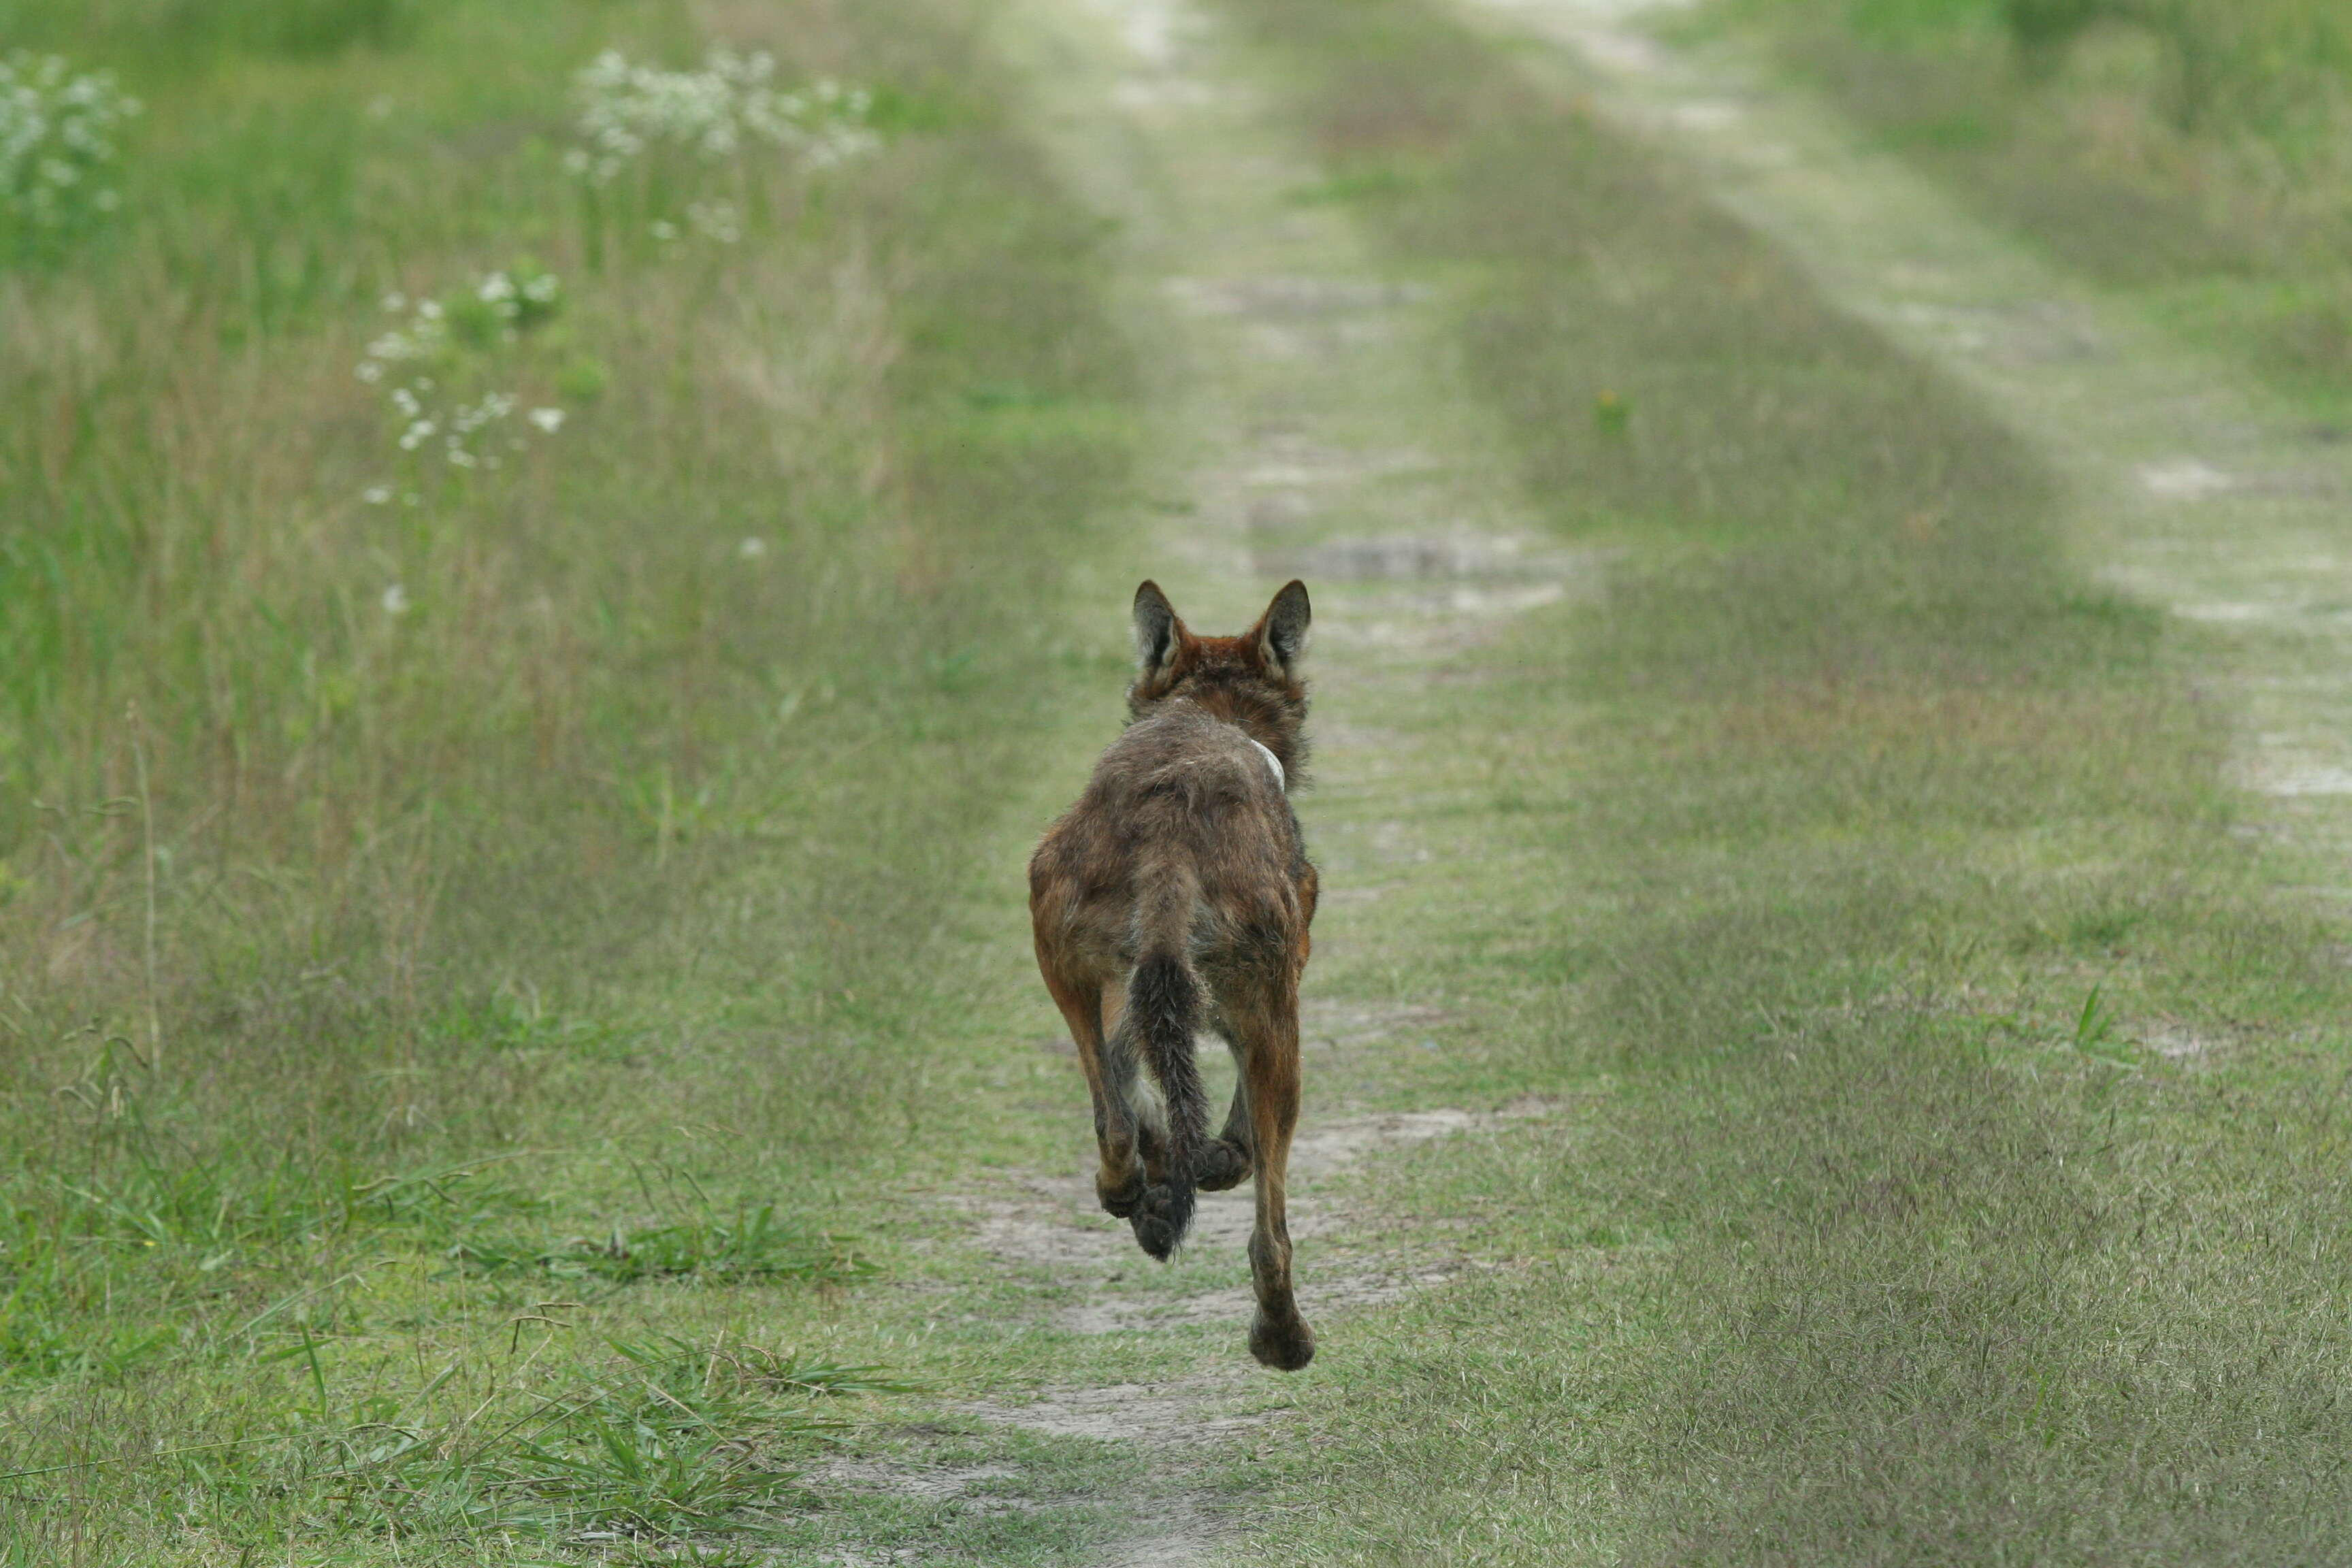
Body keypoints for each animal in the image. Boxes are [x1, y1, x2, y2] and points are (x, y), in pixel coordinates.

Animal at [1030, 581, 1326, 1373]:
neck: (1209, 711)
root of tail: (1172, 824)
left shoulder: (1125, 998)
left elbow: (1142, 1106)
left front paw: (1161, 1194)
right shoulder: (1275, 1006)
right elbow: (1238, 1148)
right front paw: (1203, 1166)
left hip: (1058, 959)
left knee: (1113, 1123)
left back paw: (1136, 1197)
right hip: (1280, 1033)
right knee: (1270, 1237)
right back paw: (1283, 1340)